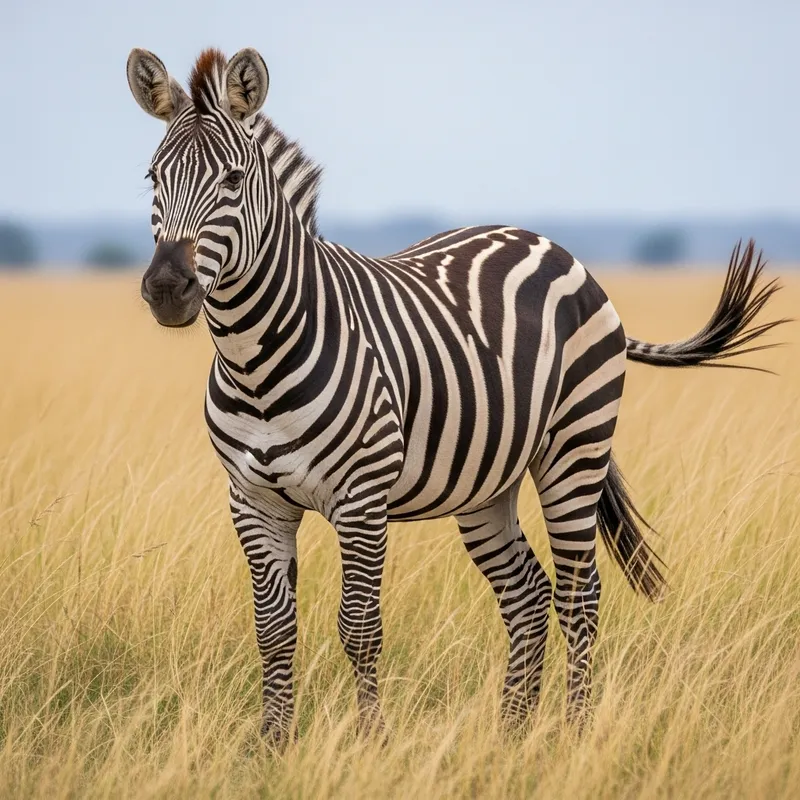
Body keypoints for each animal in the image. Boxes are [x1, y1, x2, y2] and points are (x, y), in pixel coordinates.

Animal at [126, 46, 784, 745]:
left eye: (233, 180)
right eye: (151, 178)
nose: (166, 289)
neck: (256, 364)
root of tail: (547, 243)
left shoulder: (362, 499)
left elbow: (359, 630)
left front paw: (369, 743)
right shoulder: (252, 502)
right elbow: (274, 632)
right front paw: (273, 748)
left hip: (575, 449)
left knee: (579, 594)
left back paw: (573, 734)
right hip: (488, 484)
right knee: (527, 597)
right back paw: (512, 735)